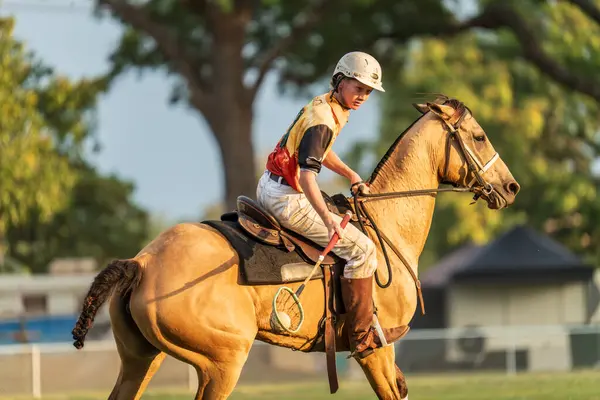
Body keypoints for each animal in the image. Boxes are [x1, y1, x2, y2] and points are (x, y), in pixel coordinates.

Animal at [71, 97, 520, 400]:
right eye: (479, 136)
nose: (511, 186)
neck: (386, 225)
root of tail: (143, 261)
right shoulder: (376, 347)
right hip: (222, 360)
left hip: (142, 358)